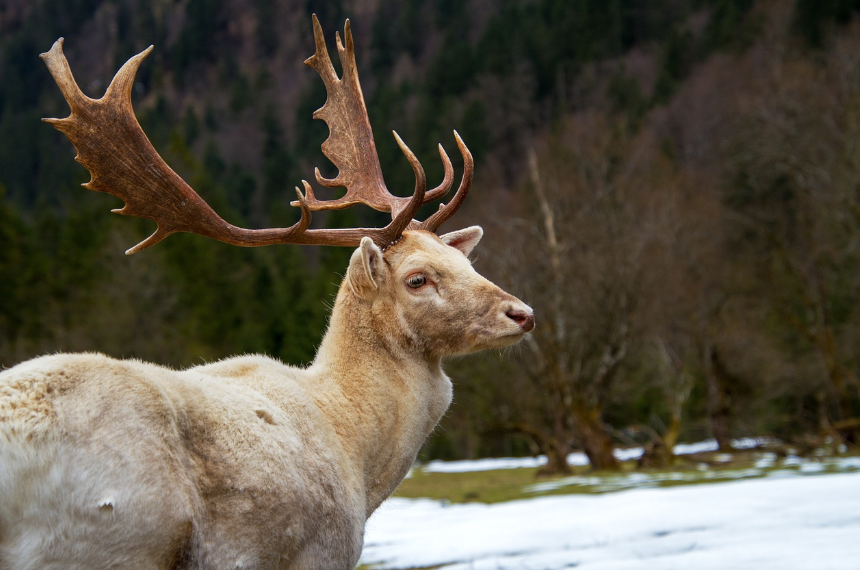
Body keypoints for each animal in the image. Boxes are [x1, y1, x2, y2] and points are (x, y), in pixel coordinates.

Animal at [0, 15, 534, 570]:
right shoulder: (321, 551)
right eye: (417, 278)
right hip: (108, 536)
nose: (522, 313)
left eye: (465, 260)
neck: (359, 459)